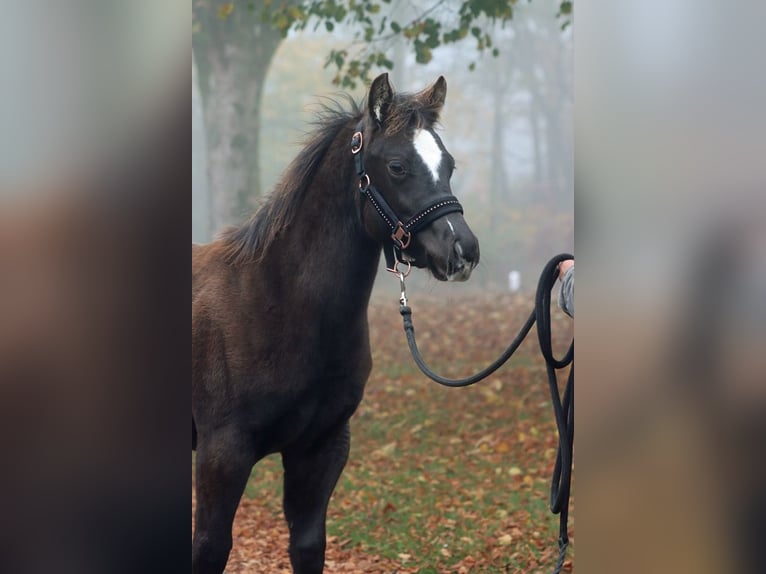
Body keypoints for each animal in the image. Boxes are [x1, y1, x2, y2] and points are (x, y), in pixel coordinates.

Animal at [192, 73, 479, 574]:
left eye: (449, 163)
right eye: (398, 166)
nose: (463, 250)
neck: (277, 302)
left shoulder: (320, 449)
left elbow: (308, 545)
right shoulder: (221, 454)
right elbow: (210, 547)